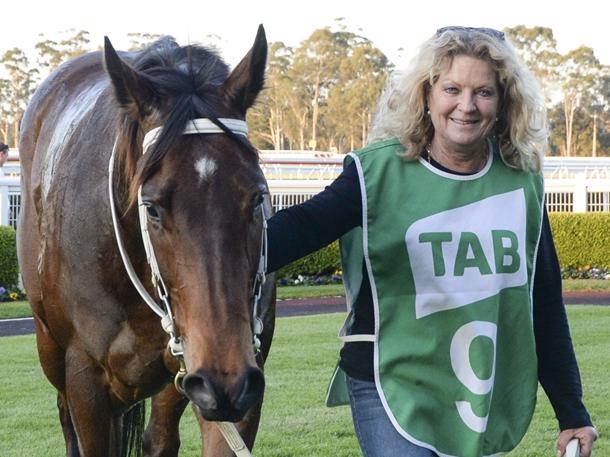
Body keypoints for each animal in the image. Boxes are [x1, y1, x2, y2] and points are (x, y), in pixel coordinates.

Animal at [18, 25, 276, 456]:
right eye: (152, 207)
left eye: (257, 197)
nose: (225, 379)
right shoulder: (85, 380)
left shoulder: (230, 379)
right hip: (51, 350)